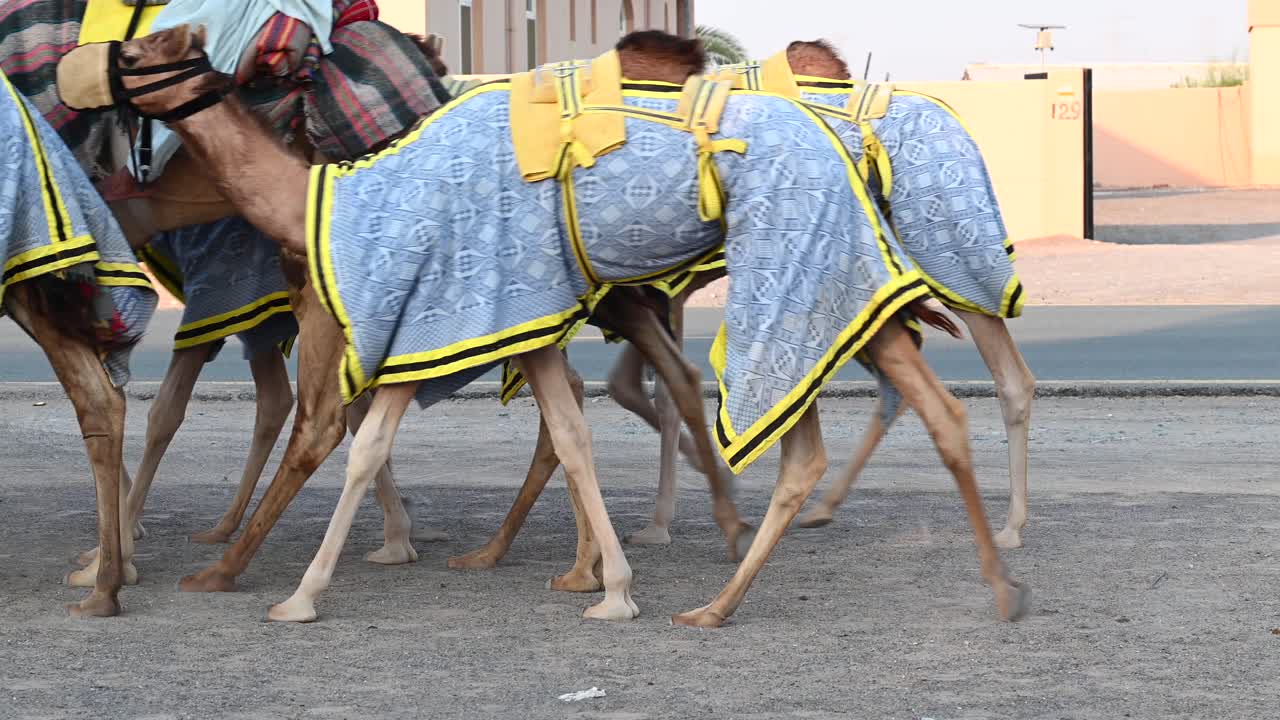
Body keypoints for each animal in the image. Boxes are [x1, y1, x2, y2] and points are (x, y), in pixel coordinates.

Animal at [102, 26, 1028, 627]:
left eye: (148, 53)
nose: (105, 62)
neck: (340, 199)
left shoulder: (431, 305)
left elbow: (352, 439)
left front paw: (285, 590)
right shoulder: (513, 314)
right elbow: (571, 430)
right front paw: (606, 582)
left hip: (826, 269)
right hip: (838, 280)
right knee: (920, 407)